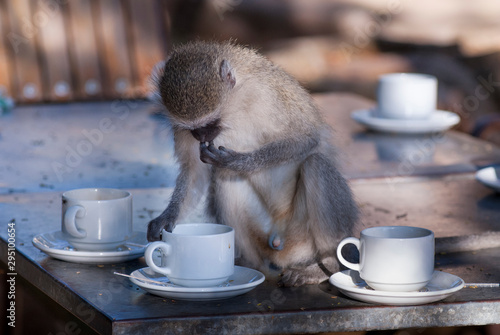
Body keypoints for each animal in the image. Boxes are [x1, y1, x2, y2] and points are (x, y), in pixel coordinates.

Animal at [146, 40, 358, 286]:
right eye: (194, 129)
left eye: (211, 122)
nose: (201, 137)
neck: (237, 104)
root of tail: (279, 242)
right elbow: (195, 173)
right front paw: (166, 218)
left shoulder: (269, 95)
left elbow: (306, 137)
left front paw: (239, 162)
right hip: (262, 236)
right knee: (224, 176)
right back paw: (251, 265)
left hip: (302, 239)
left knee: (316, 164)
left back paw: (326, 265)